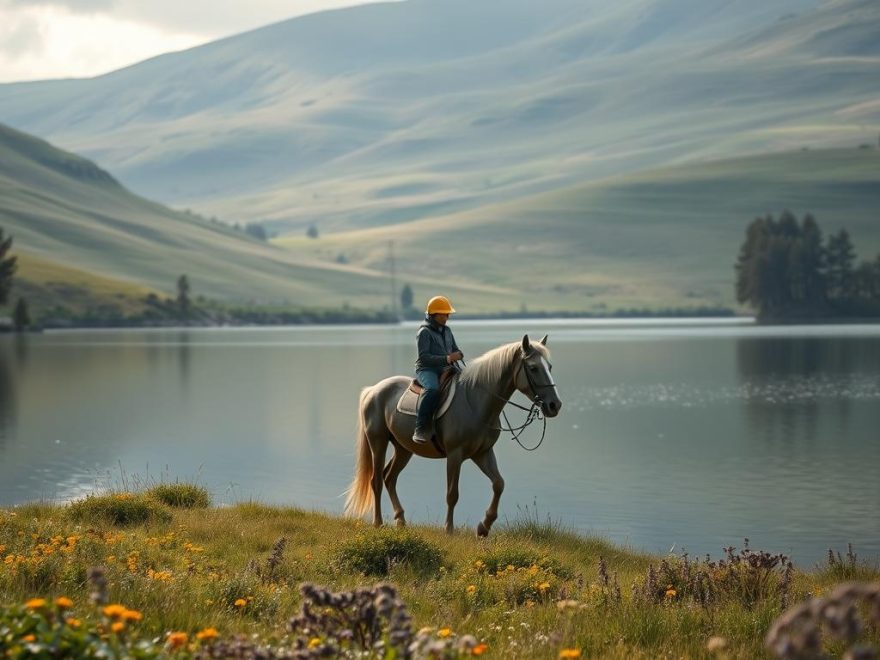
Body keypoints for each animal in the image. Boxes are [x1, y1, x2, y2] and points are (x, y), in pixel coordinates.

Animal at [346, 336, 564, 536]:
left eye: (550, 366)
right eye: (534, 368)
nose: (554, 405)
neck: (476, 402)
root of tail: (373, 390)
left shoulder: (482, 453)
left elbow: (499, 484)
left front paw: (484, 526)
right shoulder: (455, 454)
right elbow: (452, 493)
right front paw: (449, 529)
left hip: (403, 448)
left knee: (389, 477)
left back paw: (400, 520)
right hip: (378, 442)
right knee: (376, 480)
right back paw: (378, 522)